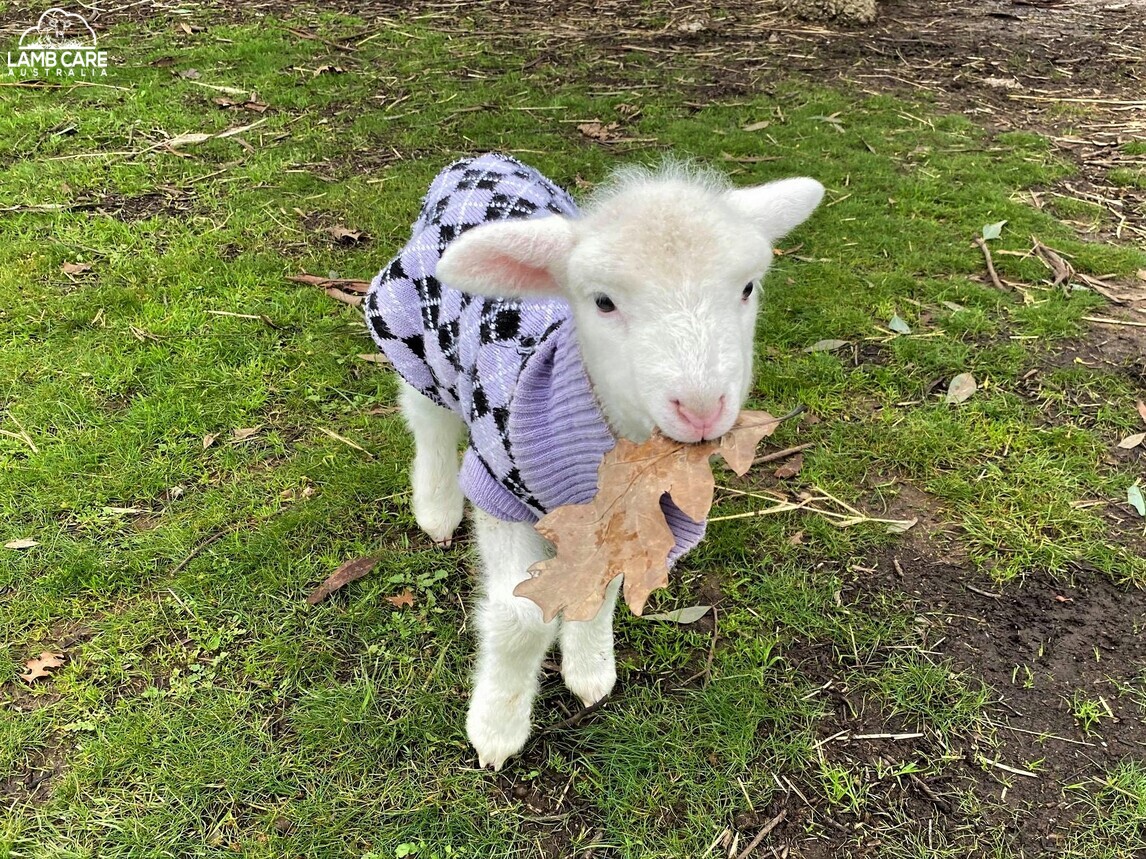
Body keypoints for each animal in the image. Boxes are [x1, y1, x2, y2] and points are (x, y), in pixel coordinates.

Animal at [362, 151, 820, 769]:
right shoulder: (499, 491)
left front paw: (589, 670)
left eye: (748, 287)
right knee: (428, 422)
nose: (702, 409)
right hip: (416, 340)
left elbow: (599, 593)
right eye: (603, 301)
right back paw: (436, 509)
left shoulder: (629, 523)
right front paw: (497, 728)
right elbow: (518, 619)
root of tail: (479, 158)